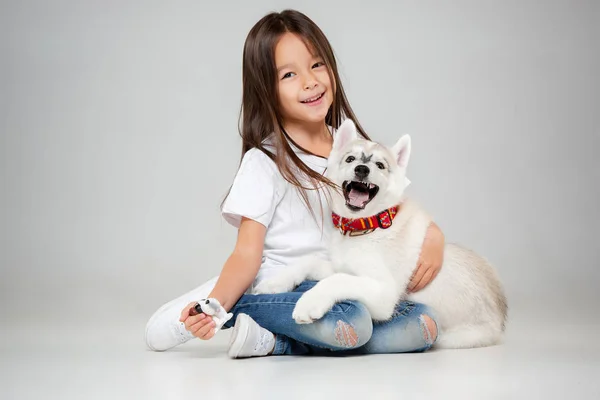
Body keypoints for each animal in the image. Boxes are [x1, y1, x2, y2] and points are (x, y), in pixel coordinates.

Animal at [253, 119, 506, 350]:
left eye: (380, 165)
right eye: (350, 159)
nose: (362, 170)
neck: (365, 227)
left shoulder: (384, 292)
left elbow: (336, 280)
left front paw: (309, 302)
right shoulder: (342, 267)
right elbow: (309, 261)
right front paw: (274, 283)